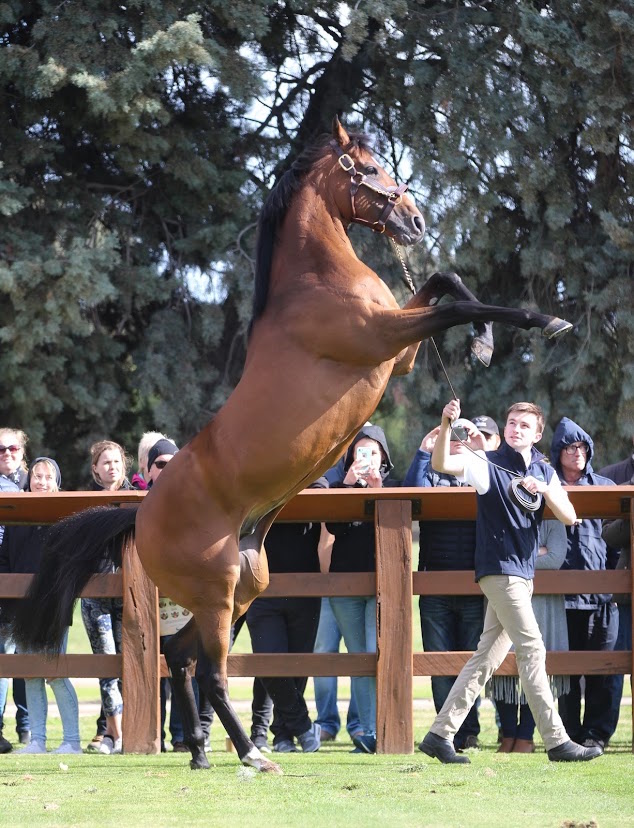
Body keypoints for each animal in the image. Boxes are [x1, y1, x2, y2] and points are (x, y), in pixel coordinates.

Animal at [9, 116, 572, 776]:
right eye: (369, 169)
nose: (413, 221)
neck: (316, 281)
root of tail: (140, 512)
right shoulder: (381, 338)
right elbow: (458, 302)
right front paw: (542, 323)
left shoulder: (400, 354)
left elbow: (446, 283)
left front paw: (483, 342)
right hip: (220, 594)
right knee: (213, 673)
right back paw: (253, 755)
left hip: (244, 588)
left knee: (180, 657)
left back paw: (201, 753)